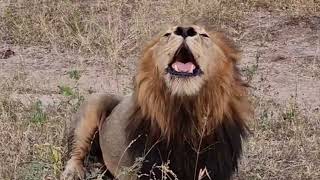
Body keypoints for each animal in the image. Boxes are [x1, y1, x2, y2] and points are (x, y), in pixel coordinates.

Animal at [61, 25, 252, 180]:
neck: (185, 112)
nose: (184, 29)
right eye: (167, 34)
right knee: (76, 151)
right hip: (94, 103)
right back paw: (72, 173)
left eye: (204, 35)